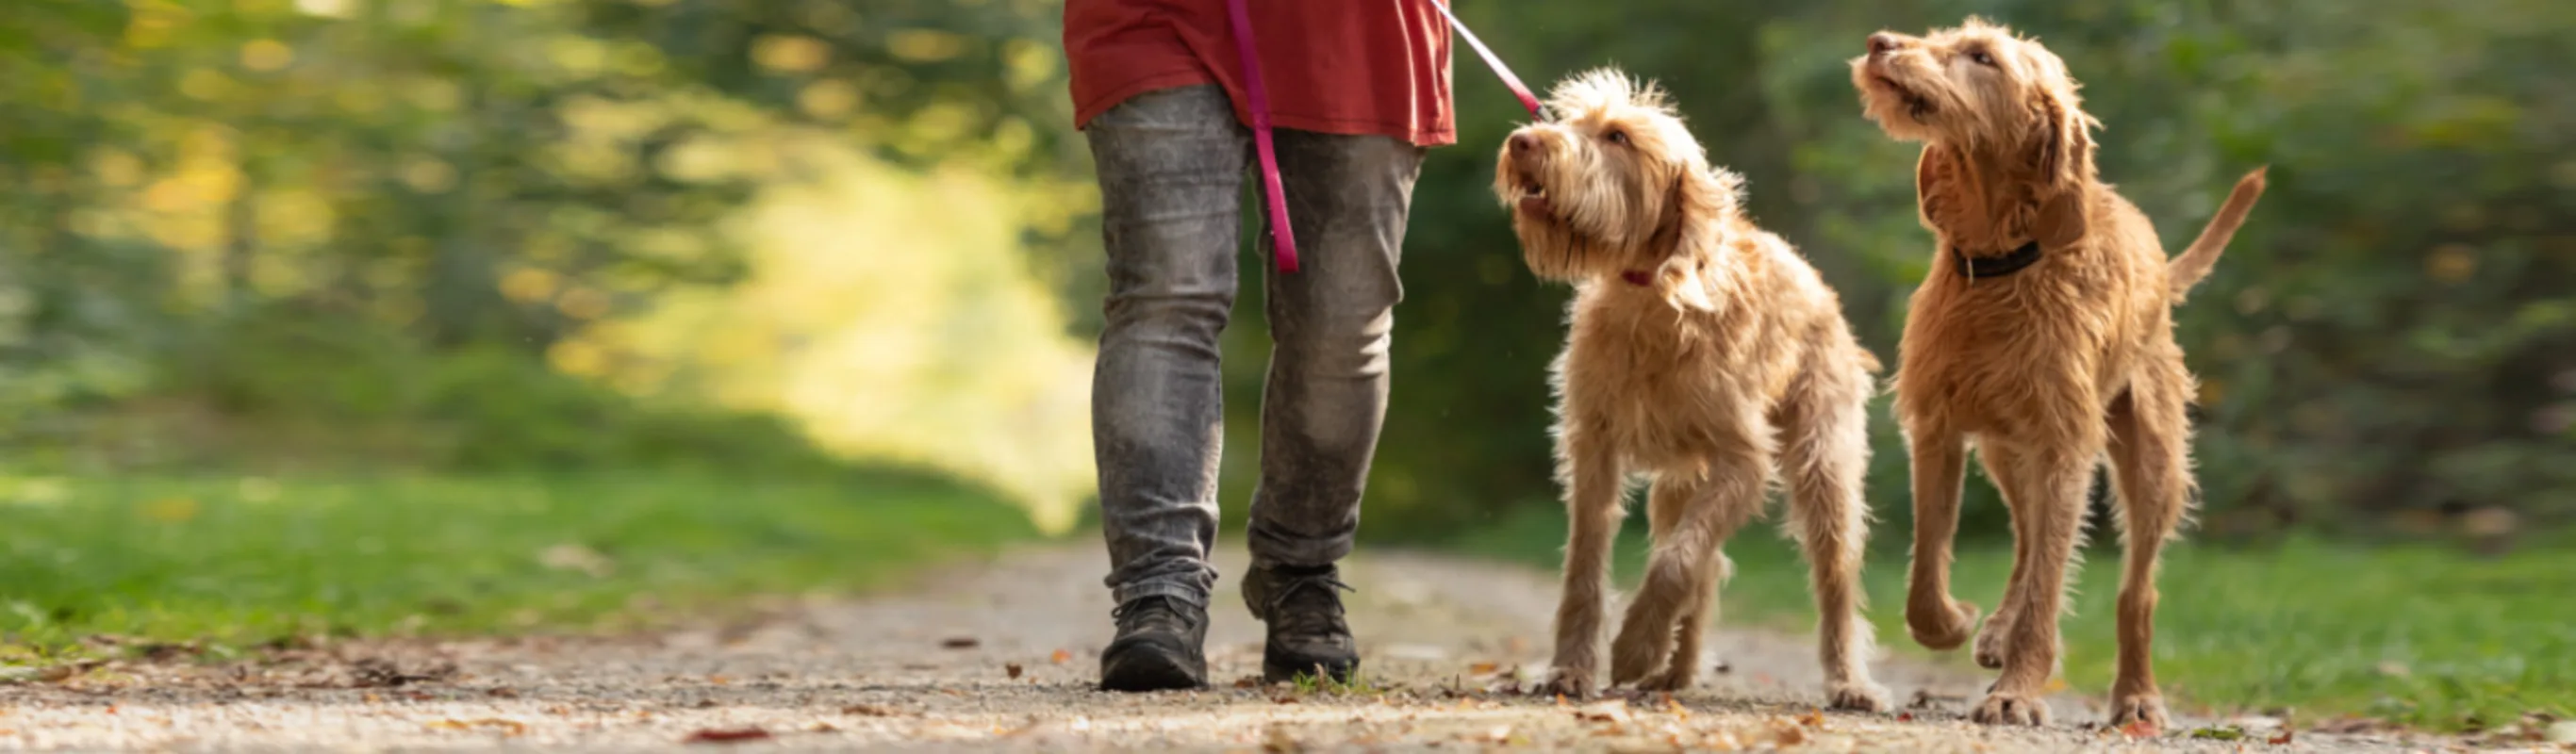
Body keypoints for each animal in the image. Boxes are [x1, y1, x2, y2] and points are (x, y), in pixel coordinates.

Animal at [1494, 67, 1895, 705]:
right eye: (1570, 120)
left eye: (1618, 137)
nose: (1523, 142)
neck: (1648, 296)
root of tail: (1815, 279)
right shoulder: (1593, 448)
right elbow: (1588, 567)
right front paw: (1571, 669)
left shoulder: (1744, 459)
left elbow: (1678, 561)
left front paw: (1635, 645)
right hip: (1680, 482)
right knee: (1701, 562)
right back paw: (1675, 672)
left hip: (1823, 469)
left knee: (1830, 581)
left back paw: (1848, 682)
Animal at [1855, 17, 2256, 730]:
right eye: (1941, 36)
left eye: (1981, 57)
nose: (1880, 42)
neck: (2000, 268)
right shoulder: (1936, 429)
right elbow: (1927, 573)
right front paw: (1957, 623)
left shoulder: (2067, 445)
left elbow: (2049, 584)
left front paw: (2017, 690)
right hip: (2003, 450)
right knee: (2025, 538)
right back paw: (1994, 631)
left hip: (2150, 466)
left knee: (2134, 588)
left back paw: (2135, 694)